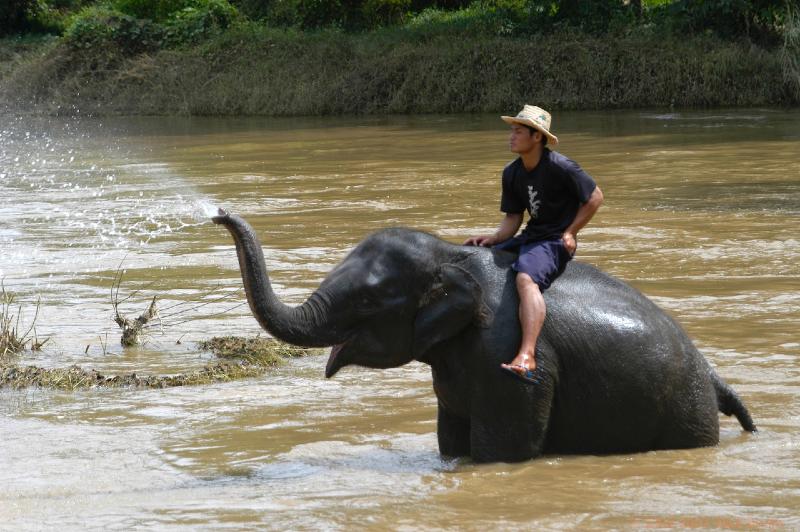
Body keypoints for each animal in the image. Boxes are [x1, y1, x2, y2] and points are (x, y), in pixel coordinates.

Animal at [212, 210, 756, 464]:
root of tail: (712, 374)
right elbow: (451, 440)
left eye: (369, 301)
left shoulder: (508, 361)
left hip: (685, 414)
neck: (450, 253)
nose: (217, 214)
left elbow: (503, 453)